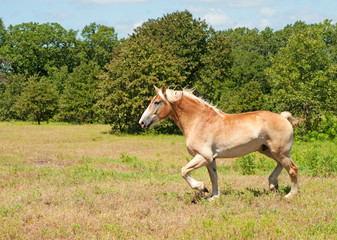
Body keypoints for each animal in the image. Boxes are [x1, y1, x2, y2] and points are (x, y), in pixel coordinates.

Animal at [138, 85, 298, 200]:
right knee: (281, 166)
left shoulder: (203, 156)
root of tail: (283, 117)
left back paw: (291, 194)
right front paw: (213, 196)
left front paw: (202, 187)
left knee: (292, 169)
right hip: (268, 150)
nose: (142, 123)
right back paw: (273, 184)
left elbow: (184, 171)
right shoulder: (210, 159)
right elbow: (214, 177)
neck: (199, 121)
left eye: (157, 102)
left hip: (279, 152)